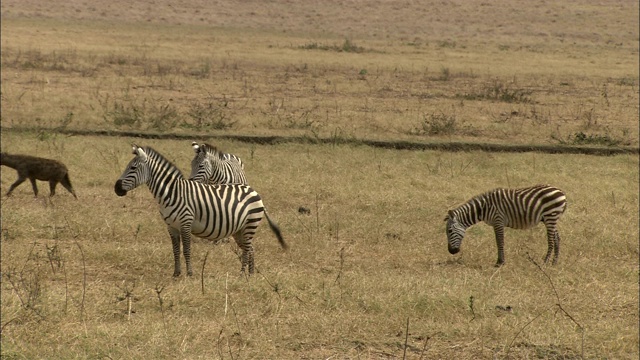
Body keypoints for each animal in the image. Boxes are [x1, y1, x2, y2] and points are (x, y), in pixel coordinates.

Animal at [114, 145, 286, 278]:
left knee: (246, 249)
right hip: (240, 229)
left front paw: (189, 274)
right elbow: (175, 250)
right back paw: (250, 274)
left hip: (250, 224)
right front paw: (176, 273)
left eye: (133, 168)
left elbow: (186, 250)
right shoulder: (171, 227)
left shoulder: (186, 223)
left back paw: (242, 274)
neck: (172, 193)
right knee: (250, 248)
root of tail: (254, 191)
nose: (116, 188)